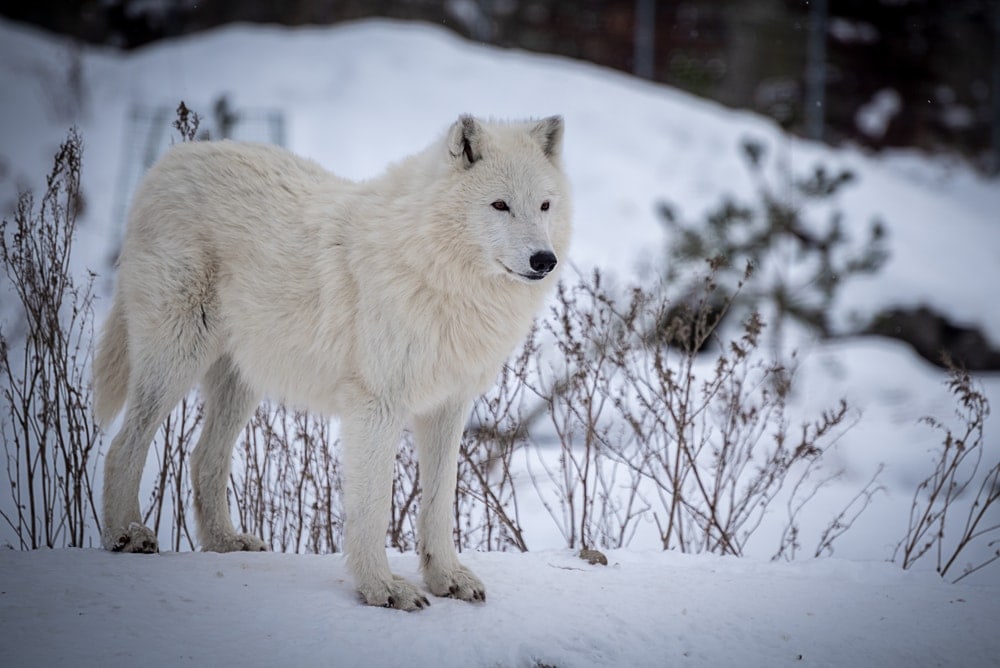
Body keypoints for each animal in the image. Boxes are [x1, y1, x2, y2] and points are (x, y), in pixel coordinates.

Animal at [93, 115, 570, 610]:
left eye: (544, 205)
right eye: (500, 205)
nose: (544, 260)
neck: (435, 270)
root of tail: (169, 162)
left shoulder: (447, 407)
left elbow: (439, 503)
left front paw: (446, 579)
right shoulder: (376, 406)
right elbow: (373, 507)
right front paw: (382, 588)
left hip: (242, 381)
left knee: (203, 457)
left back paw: (226, 542)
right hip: (175, 357)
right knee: (123, 446)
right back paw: (127, 535)